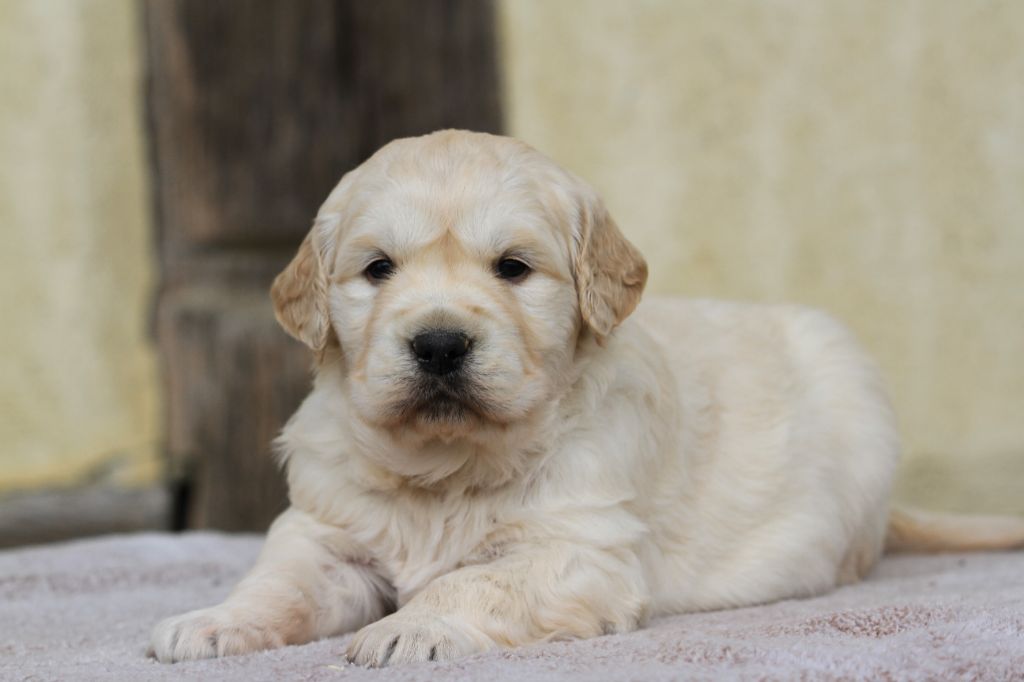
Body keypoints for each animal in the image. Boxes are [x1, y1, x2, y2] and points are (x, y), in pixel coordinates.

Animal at [149, 129, 1024, 663]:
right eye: (377, 269)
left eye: (513, 268)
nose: (439, 344)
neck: (445, 468)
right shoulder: (322, 531)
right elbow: (279, 583)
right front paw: (212, 621)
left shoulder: (580, 549)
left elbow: (476, 579)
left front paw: (411, 626)